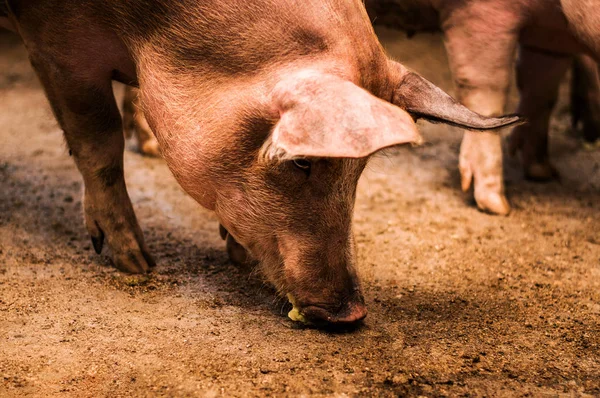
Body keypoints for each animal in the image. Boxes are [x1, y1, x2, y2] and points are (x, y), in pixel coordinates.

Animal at [0, 0, 516, 324]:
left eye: (360, 169)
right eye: (303, 162)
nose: (352, 313)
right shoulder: (58, 46)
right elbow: (97, 140)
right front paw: (137, 264)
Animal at [368, 0, 600, 215]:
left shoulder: (549, 42)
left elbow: (542, 89)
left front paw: (543, 173)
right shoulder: (476, 13)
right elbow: (486, 87)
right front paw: (499, 207)